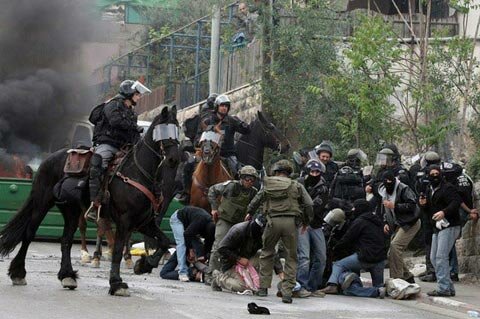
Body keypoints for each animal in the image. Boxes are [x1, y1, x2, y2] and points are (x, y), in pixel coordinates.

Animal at [0, 105, 181, 298]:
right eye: (163, 129)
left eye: (177, 129)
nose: (174, 159)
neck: (137, 173)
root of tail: (48, 160)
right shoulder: (124, 221)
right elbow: (117, 251)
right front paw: (117, 283)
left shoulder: (144, 222)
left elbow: (164, 242)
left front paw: (144, 265)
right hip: (42, 203)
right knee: (29, 234)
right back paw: (18, 273)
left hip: (71, 211)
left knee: (66, 240)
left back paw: (67, 276)